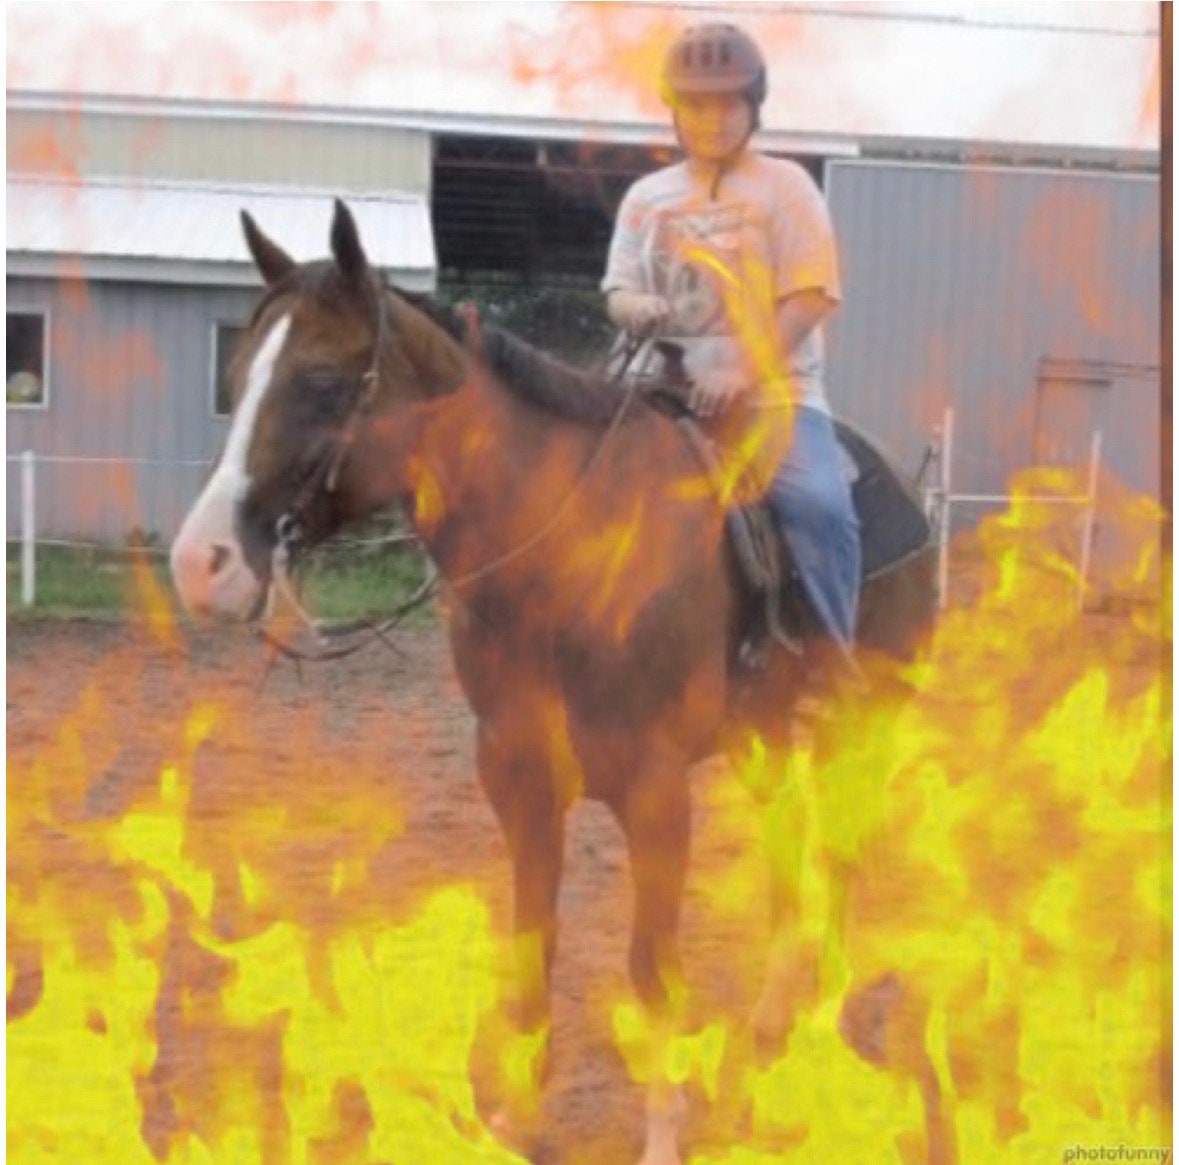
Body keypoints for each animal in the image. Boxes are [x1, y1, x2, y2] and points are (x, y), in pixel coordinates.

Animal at [170, 200, 940, 1163]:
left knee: (841, 854)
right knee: (788, 844)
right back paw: (767, 1016)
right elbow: (533, 948)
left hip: (861, 720)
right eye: (236, 374)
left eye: (318, 378)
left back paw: (821, 1010)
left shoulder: (654, 790)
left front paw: (661, 1134)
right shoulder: (519, 778)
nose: (200, 564)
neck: (571, 551)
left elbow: (651, 968)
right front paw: (516, 1120)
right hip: (761, 731)